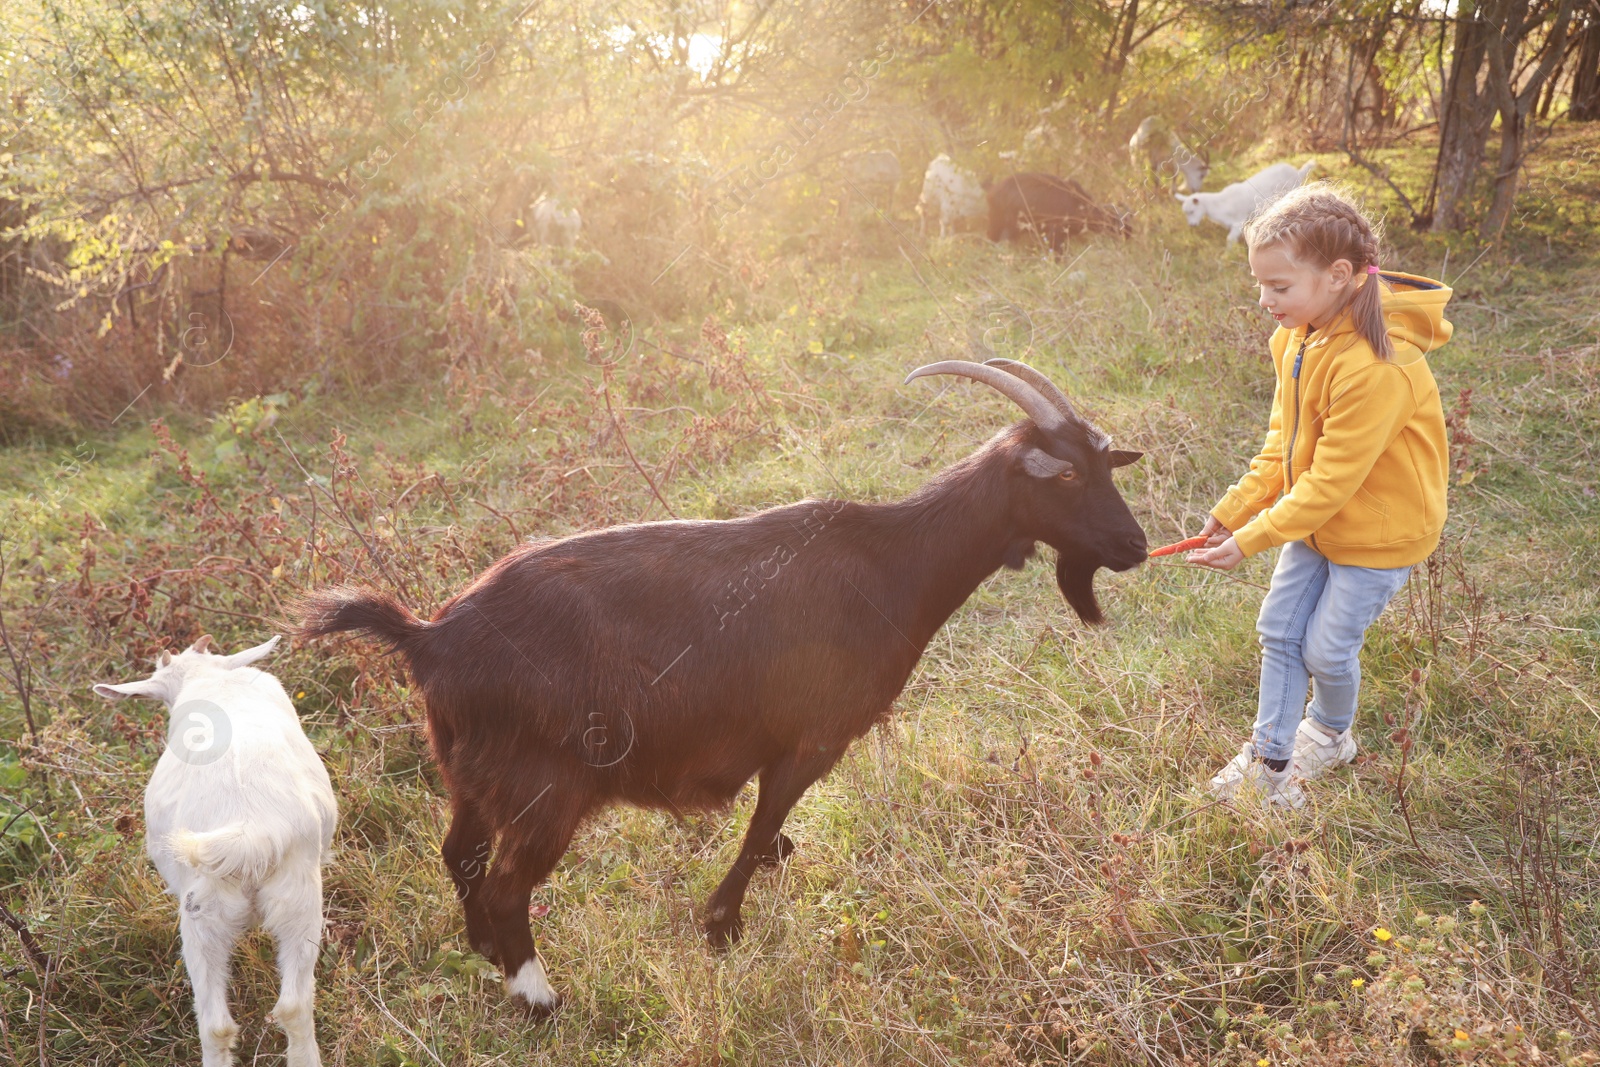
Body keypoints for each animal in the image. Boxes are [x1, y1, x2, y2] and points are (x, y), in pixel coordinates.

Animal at [95, 639, 336, 1062]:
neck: (208, 679)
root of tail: (250, 832)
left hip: (204, 916)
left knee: (218, 1023)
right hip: (297, 902)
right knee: (288, 1006)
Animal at [297, 361, 1152, 1017]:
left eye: (1105, 464)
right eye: (1066, 472)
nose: (1135, 545)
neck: (897, 559)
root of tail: (430, 637)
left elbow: (767, 834)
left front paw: (755, 885)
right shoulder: (810, 737)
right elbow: (760, 822)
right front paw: (721, 926)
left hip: (472, 774)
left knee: (461, 855)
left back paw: (483, 952)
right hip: (545, 786)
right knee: (508, 884)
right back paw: (538, 997)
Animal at [1171, 158, 1318, 244]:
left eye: (1192, 211)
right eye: (1186, 212)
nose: (1192, 225)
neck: (1220, 204)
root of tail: (1297, 172)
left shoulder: (1238, 221)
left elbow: (1230, 240)